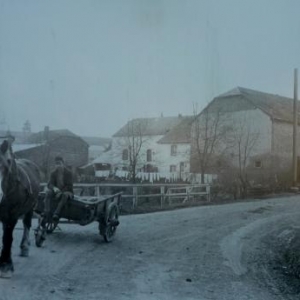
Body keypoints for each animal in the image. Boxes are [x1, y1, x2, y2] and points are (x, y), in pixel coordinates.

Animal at [0, 137, 40, 278]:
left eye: (7, 162)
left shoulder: (12, 215)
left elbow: (7, 238)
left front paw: (6, 266)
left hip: (30, 207)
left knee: (26, 223)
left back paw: (25, 247)